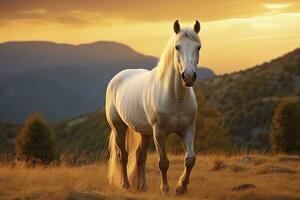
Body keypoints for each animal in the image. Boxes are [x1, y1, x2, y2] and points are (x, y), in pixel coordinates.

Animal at [105, 19, 202, 194]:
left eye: (198, 47)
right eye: (177, 47)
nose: (189, 77)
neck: (175, 97)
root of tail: (116, 78)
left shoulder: (188, 129)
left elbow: (190, 159)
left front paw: (181, 187)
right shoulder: (159, 133)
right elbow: (163, 162)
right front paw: (165, 188)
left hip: (145, 133)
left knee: (140, 156)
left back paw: (142, 186)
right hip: (119, 127)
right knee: (123, 155)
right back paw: (126, 184)